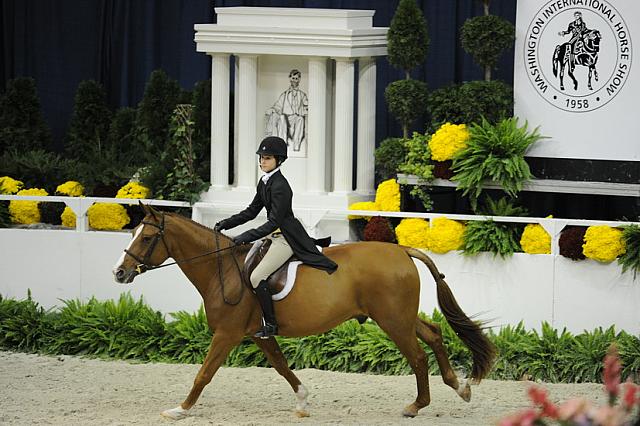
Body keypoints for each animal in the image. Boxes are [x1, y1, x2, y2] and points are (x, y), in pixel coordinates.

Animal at [114, 206, 496, 420]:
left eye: (145, 237)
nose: (119, 273)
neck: (223, 268)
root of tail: (402, 251)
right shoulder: (257, 334)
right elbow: (282, 366)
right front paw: (302, 402)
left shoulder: (227, 334)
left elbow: (203, 374)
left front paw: (180, 409)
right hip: (399, 316)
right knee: (434, 334)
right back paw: (460, 387)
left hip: (392, 321)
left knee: (417, 355)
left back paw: (416, 405)